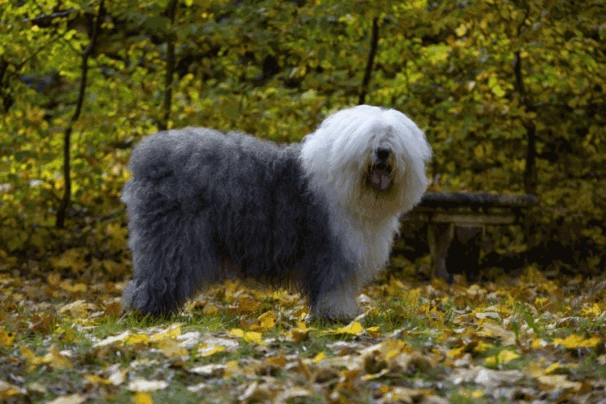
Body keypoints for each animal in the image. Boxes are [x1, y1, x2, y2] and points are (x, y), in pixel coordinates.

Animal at [121, 105, 432, 320]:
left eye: (392, 137)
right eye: (370, 137)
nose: (383, 152)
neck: (353, 188)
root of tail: (149, 157)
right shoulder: (332, 250)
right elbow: (334, 286)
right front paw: (337, 316)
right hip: (173, 239)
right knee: (156, 278)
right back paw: (144, 315)